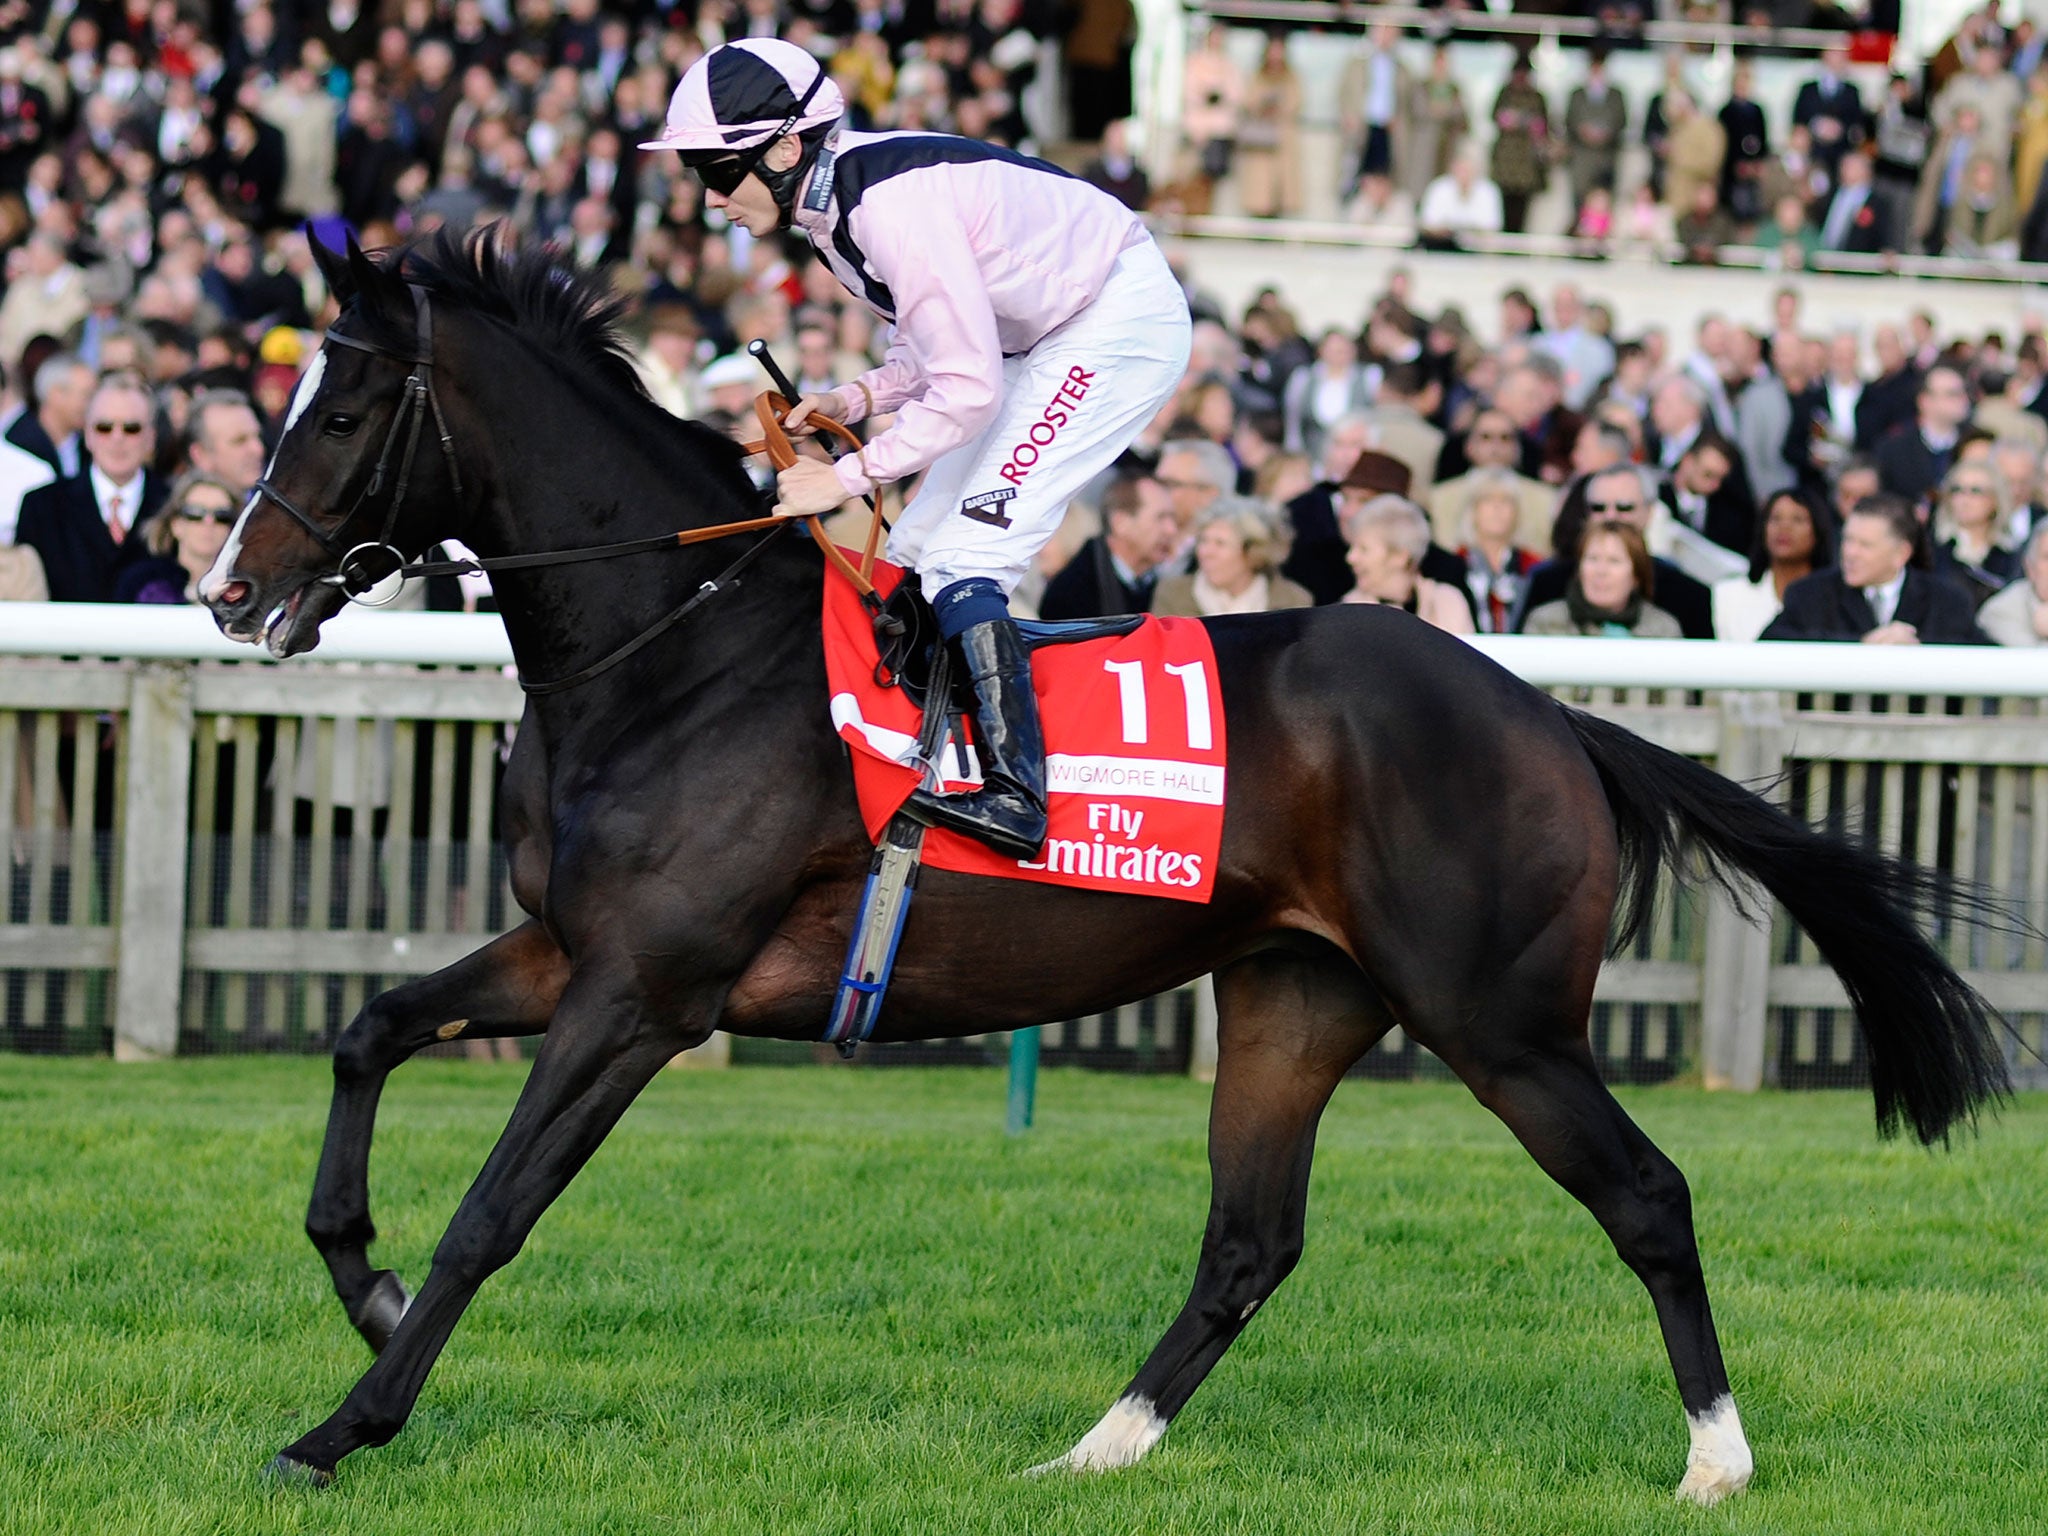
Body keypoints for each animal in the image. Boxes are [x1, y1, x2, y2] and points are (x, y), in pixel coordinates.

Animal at [199, 234, 2007, 1507]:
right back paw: (1096, 1450)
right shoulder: (569, 951)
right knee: (1247, 1243)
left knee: (1643, 1195)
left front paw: (342, 1425)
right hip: (1295, 997)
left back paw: (1716, 1458)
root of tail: (1550, 716)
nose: (226, 589)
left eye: (342, 411)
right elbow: (365, 1033)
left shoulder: (647, 990)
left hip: (1499, 1020)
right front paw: (362, 1288)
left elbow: (493, 1213)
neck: (675, 652)